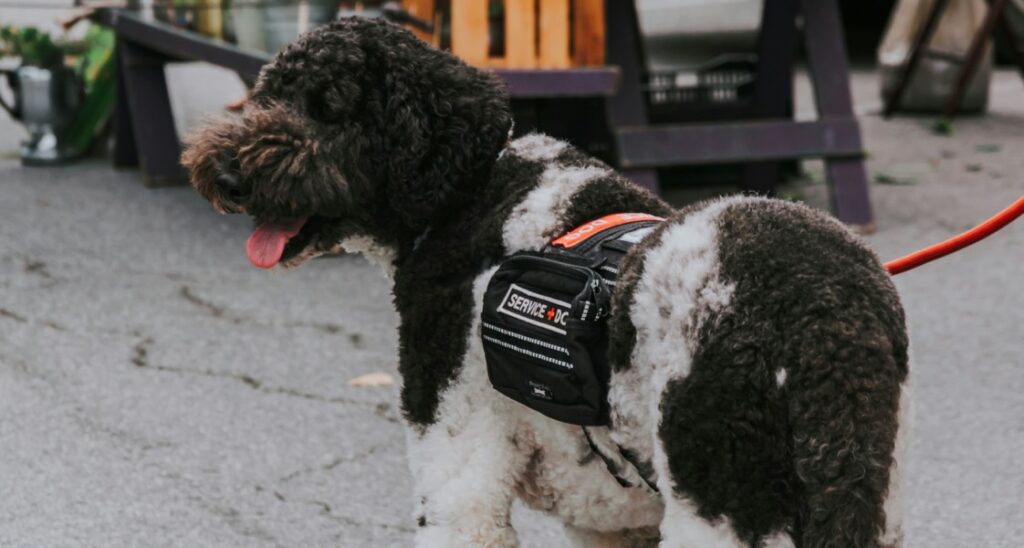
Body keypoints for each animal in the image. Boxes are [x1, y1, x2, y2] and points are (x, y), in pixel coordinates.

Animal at [180, 18, 909, 548]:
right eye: (268, 93)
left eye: (328, 109)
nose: (226, 176)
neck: (469, 192)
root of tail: (826, 326)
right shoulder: (610, 522)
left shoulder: (460, 480)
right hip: (863, 500)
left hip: (724, 505)